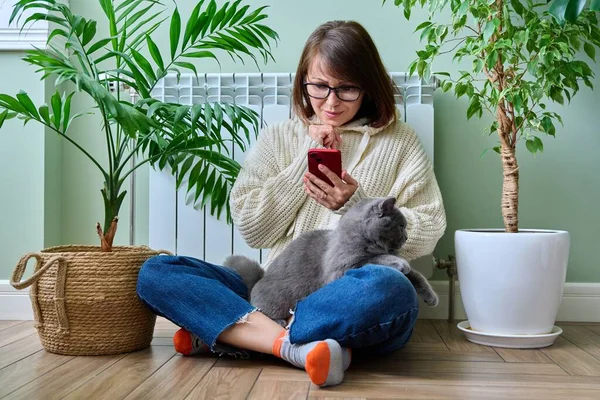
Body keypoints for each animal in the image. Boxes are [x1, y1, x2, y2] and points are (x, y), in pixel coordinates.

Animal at [223, 195, 438, 320]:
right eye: (401, 226)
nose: (407, 236)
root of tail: (260, 278)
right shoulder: (342, 267)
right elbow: (374, 259)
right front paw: (399, 263)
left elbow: (417, 275)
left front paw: (431, 297)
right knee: (261, 311)